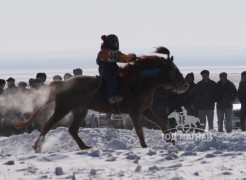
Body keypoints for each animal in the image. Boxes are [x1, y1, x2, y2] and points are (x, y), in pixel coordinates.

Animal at [14, 47, 188, 150]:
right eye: (172, 70)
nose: (185, 84)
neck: (139, 82)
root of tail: (63, 84)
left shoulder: (145, 110)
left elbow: (160, 122)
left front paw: (170, 141)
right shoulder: (134, 112)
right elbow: (139, 130)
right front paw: (145, 146)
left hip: (80, 110)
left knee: (72, 130)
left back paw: (84, 147)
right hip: (63, 109)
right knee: (48, 125)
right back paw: (37, 146)